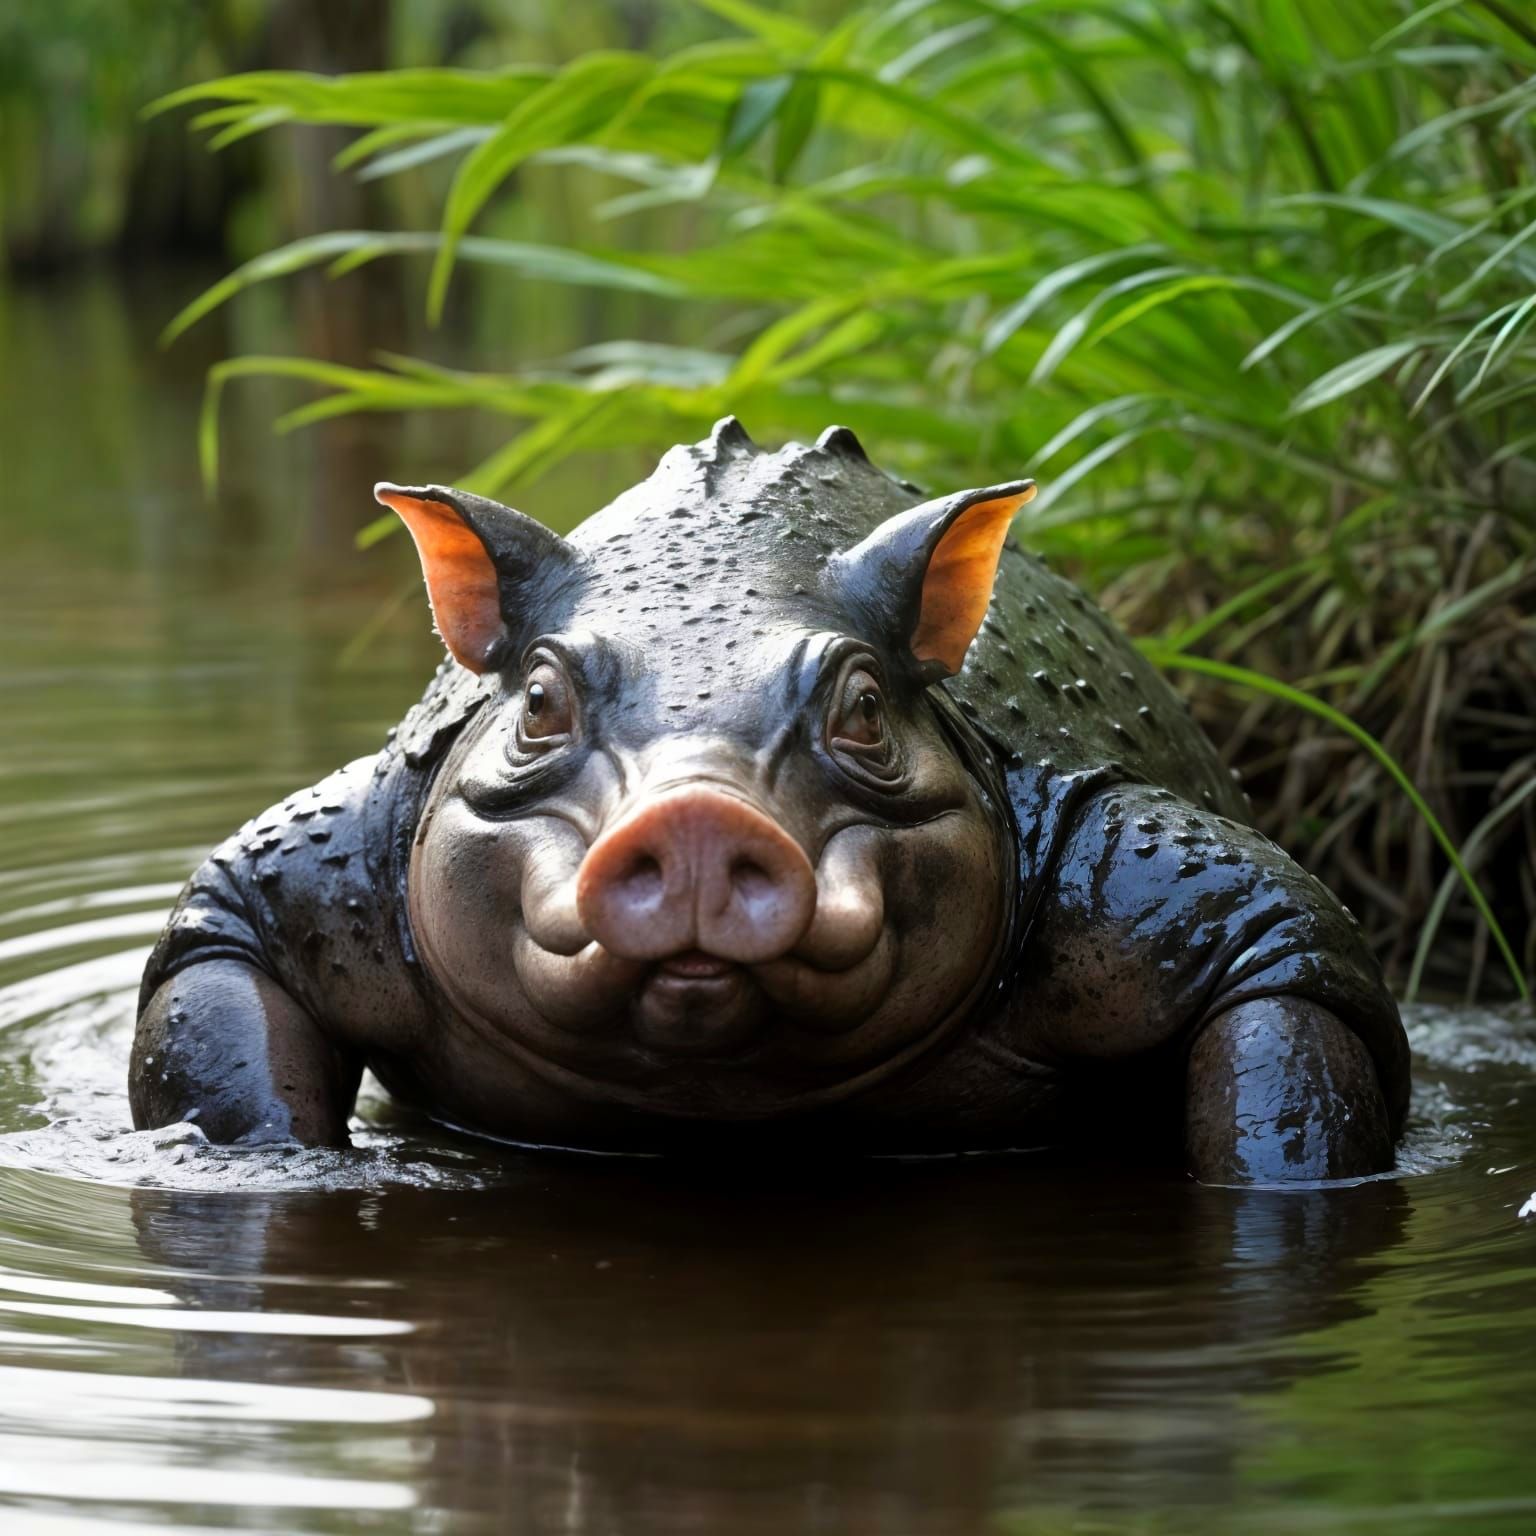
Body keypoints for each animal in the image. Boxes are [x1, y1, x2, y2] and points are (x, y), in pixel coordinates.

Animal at [130, 419, 1409, 1182]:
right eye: (539, 699)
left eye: (863, 707)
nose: (699, 819)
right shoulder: (278, 884)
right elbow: (224, 1052)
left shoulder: (1220, 904)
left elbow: (1288, 1075)